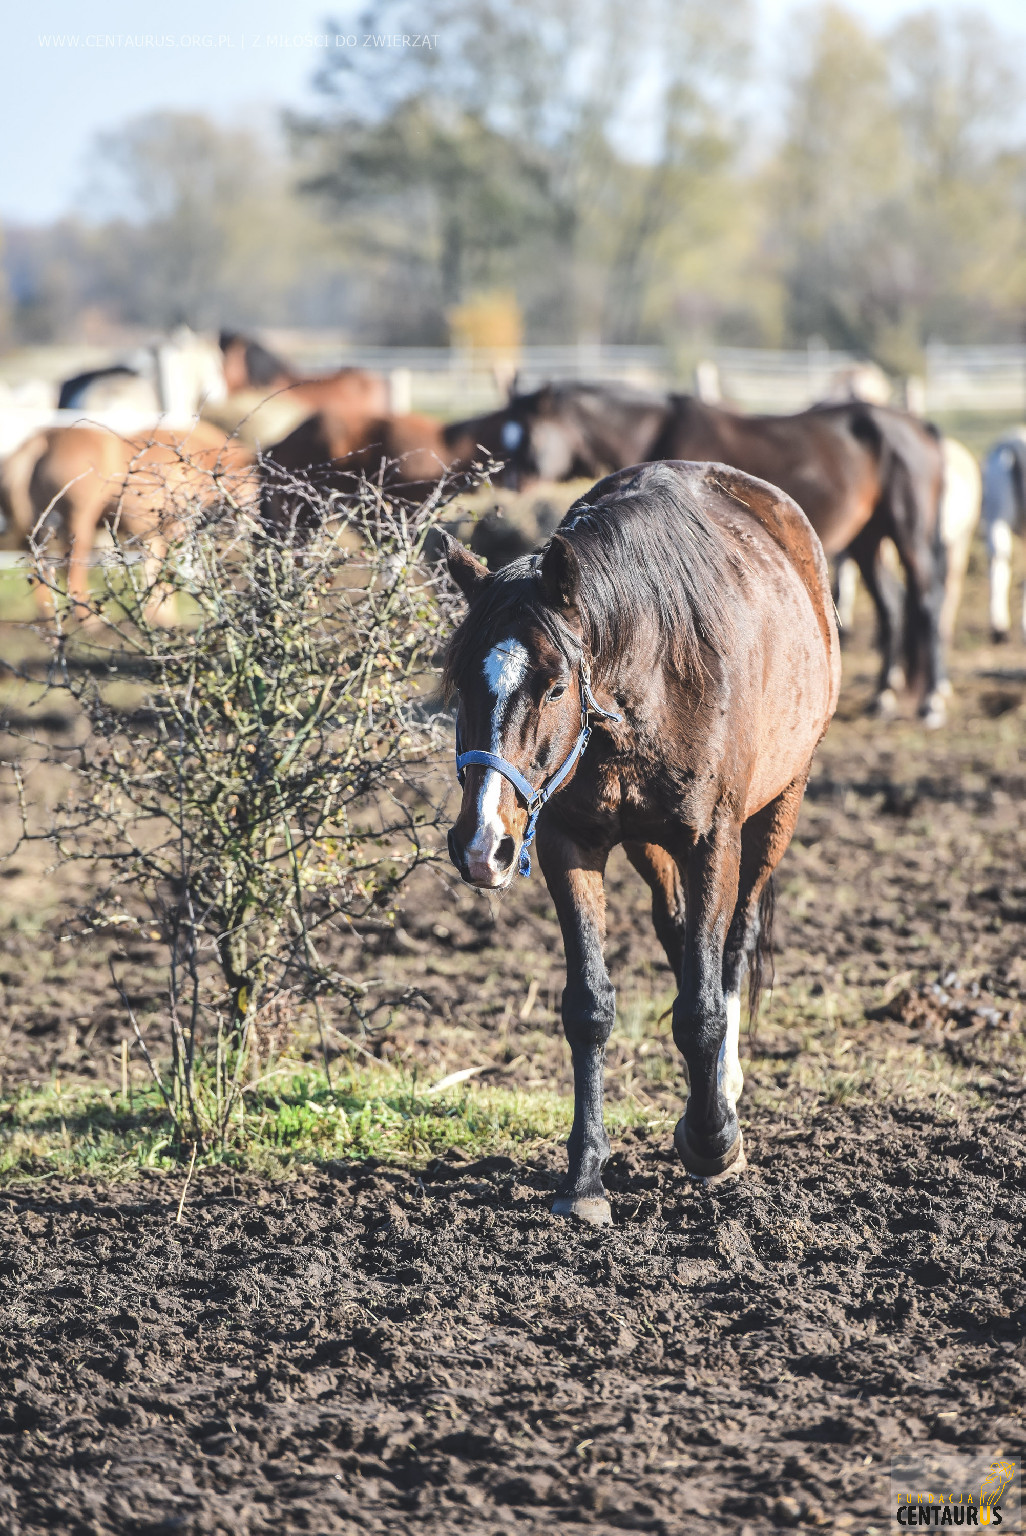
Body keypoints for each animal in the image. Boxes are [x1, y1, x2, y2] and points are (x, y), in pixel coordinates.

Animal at [0, 423, 254, 620]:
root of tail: (41, 440)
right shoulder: (176, 528)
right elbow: (167, 571)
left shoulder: (154, 532)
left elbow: (153, 570)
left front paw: (157, 614)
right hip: (78, 520)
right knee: (73, 565)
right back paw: (87, 618)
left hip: (40, 525)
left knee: (39, 564)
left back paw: (47, 614)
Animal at [442, 457, 841, 1222]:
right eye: (459, 686)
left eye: (555, 685)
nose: (483, 845)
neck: (653, 669)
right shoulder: (571, 843)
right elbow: (590, 1007)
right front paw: (585, 1180)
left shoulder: (713, 840)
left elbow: (703, 1007)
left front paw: (714, 1142)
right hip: (649, 846)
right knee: (679, 931)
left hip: (781, 804)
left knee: (734, 941)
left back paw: (723, 1091)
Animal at [503, 380, 946, 721]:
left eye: (528, 438)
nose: (510, 486)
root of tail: (919, 427)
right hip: (867, 539)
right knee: (892, 606)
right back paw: (883, 695)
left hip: (907, 533)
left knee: (926, 601)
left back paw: (931, 700)